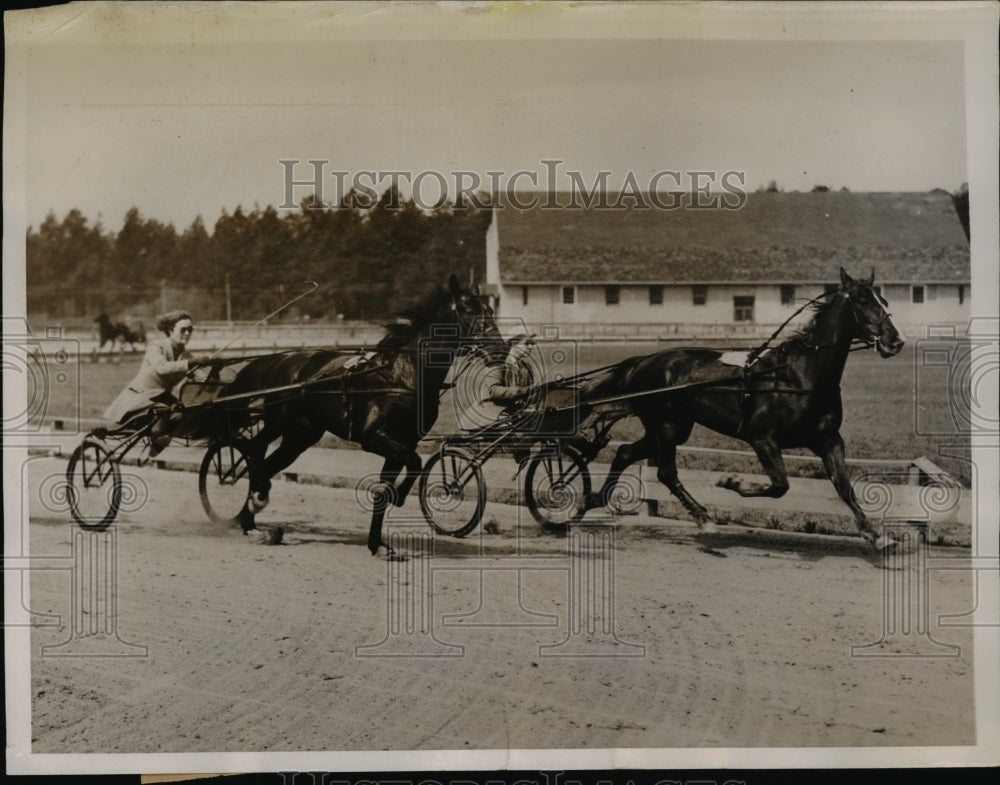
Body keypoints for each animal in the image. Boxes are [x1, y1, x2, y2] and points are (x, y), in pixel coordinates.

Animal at [217, 276, 500, 556]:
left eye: (489, 309)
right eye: (467, 309)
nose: (499, 348)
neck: (403, 376)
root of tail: (278, 360)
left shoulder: (403, 442)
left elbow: (391, 483)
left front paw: (378, 544)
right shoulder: (373, 437)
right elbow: (416, 462)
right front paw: (399, 496)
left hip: (301, 435)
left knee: (268, 462)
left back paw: (252, 519)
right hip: (279, 421)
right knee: (255, 448)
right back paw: (255, 503)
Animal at [584, 270, 908, 552]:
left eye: (884, 301)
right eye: (862, 300)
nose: (896, 341)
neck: (797, 376)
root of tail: (643, 361)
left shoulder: (828, 440)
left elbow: (844, 487)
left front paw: (877, 536)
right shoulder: (762, 438)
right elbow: (780, 485)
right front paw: (731, 481)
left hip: (671, 428)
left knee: (624, 452)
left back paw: (593, 500)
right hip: (666, 425)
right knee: (665, 471)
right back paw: (703, 517)